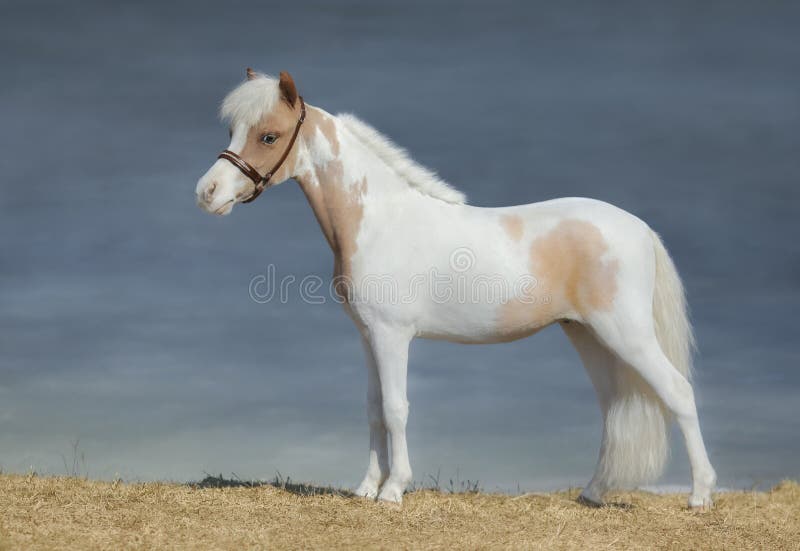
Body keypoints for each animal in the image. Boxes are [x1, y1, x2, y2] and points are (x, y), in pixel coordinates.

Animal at [195, 69, 716, 508]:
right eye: (232, 131)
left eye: (268, 136)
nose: (207, 193)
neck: (379, 219)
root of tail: (639, 228)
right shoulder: (367, 336)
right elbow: (372, 408)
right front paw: (365, 489)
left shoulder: (392, 336)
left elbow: (396, 408)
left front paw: (393, 491)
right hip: (588, 335)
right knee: (615, 410)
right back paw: (592, 493)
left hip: (626, 333)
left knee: (678, 393)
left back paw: (700, 496)